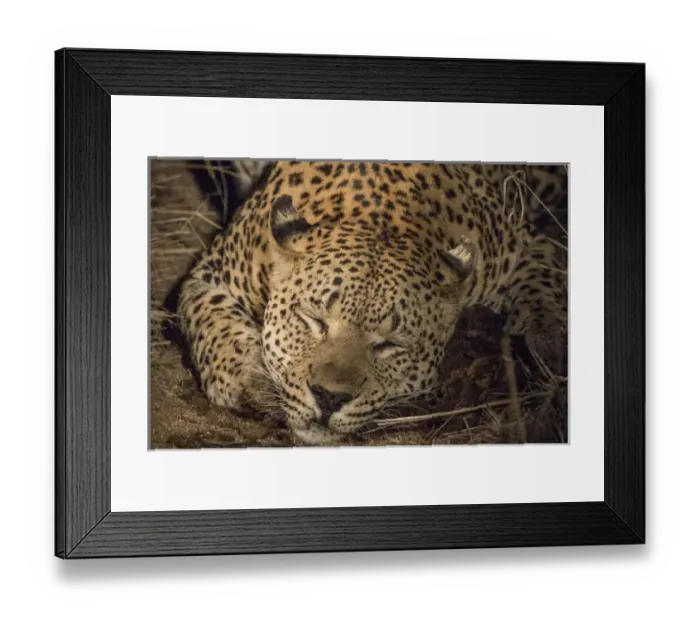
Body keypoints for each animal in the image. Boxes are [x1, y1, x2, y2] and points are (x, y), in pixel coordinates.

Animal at [177, 160, 568, 445]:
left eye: (388, 345)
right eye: (314, 320)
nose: (329, 398)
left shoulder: (527, 246)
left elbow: (548, 290)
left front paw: (549, 346)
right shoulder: (209, 277)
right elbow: (217, 331)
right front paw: (249, 382)